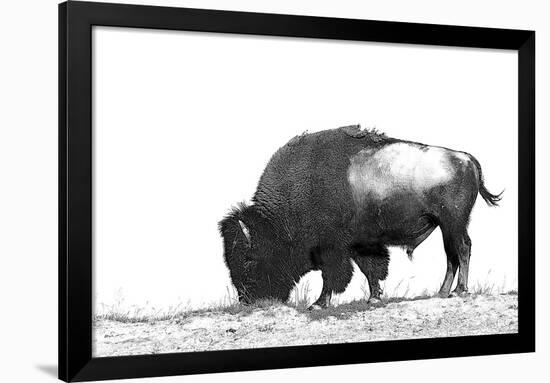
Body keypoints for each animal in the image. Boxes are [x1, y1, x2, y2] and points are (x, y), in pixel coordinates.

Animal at [219, 124, 500, 310]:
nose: (247, 300)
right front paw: (374, 297)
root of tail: (465, 158)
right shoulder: (361, 245)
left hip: (453, 223)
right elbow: (371, 270)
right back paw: (441, 292)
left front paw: (319, 304)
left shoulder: (333, 249)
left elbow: (333, 276)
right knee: (452, 255)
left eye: (249, 258)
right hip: (446, 226)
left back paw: (459, 292)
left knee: (462, 249)